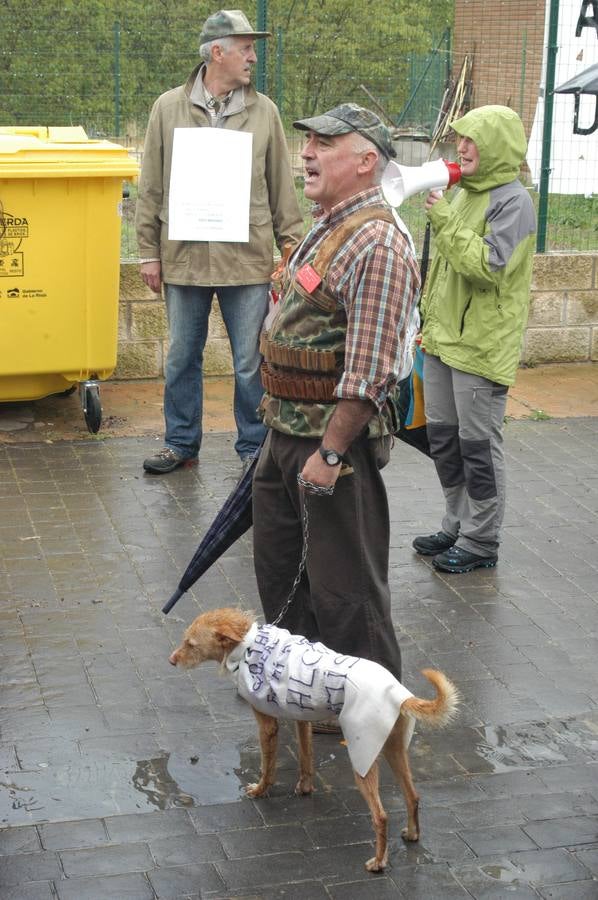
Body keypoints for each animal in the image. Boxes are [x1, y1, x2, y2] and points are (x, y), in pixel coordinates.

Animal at [171, 604, 462, 872]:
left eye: (190, 643)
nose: (171, 661)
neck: (250, 645)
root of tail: (399, 693)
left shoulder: (267, 725)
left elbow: (268, 767)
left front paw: (260, 790)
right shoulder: (301, 717)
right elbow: (306, 758)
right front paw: (305, 788)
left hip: (364, 760)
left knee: (381, 816)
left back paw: (379, 862)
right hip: (394, 750)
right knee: (413, 796)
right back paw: (412, 834)